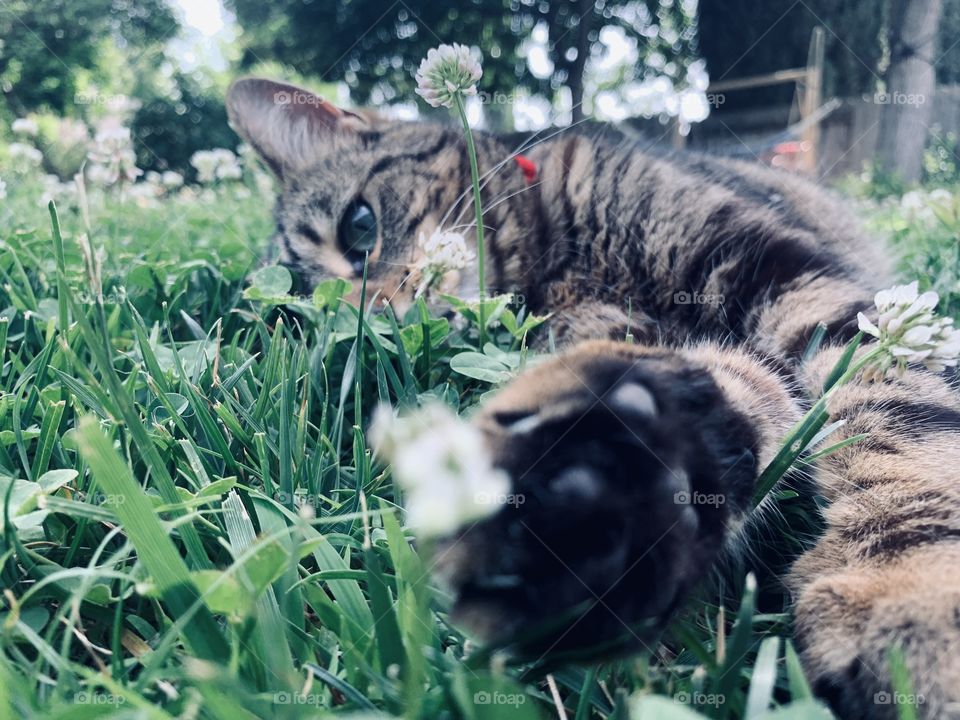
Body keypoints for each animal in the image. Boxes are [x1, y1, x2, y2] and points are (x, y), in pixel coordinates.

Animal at [223, 76, 960, 716]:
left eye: (360, 227)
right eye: (328, 321)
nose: (385, 316)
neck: (554, 262)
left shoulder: (791, 277)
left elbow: (895, 415)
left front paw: (910, 582)